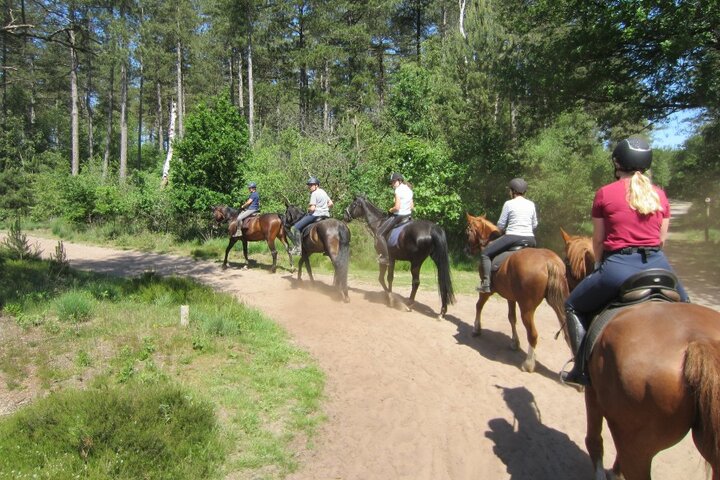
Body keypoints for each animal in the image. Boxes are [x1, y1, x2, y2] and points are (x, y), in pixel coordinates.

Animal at [464, 212, 572, 374]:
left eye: (467, 231)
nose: (467, 251)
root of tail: (548, 261)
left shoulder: (487, 291)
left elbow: (479, 306)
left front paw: (477, 329)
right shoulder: (511, 297)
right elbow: (511, 318)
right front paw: (515, 342)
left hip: (527, 308)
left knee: (533, 334)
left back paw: (528, 363)